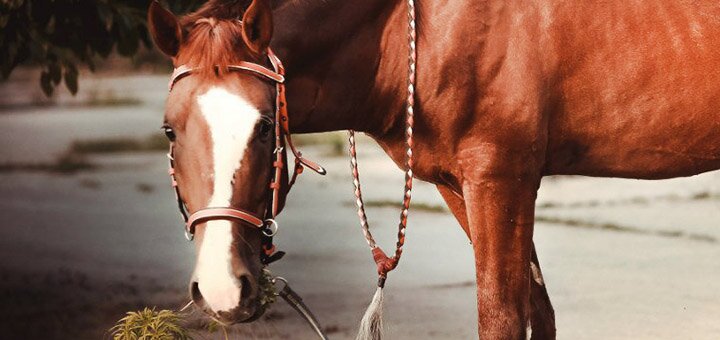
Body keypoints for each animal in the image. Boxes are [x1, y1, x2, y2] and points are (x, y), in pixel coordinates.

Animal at [148, 0, 720, 338]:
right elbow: (537, 312)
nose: (223, 288)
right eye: (170, 130)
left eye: (265, 126)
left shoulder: (501, 179)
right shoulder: (460, 187)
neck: (420, 27)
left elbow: (501, 315)